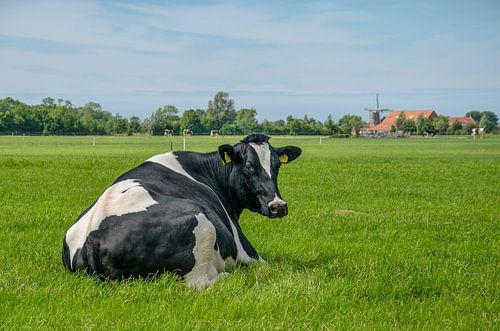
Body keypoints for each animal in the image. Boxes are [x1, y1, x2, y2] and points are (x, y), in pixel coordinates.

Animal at [64, 134, 302, 290]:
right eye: (249, 166)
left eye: (277, 166)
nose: (278, 206)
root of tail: (94, 236)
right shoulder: (245, 249)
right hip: (202, 226)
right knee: (201, 283)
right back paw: (228, 277)